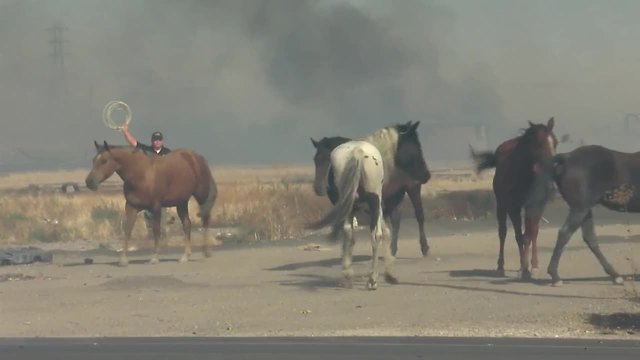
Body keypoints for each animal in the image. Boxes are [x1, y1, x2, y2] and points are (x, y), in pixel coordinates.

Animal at [85, 140, 218, 264]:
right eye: (93, 160)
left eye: (104, 161)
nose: (89, 182)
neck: (141, 174)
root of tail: (197, 158)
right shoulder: (131, 207)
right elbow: (128, 230)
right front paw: (123, 260)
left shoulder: (156, 207)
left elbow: (156, 230)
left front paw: (155, 257)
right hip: (181, 202)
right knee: (187, 224)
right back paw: (185, 256)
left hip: (201, 196)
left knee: (206, 219)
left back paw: (206, 252)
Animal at [310, 121, 430, 256]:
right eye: (316, 160)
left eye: (418, 147)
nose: (318, 188)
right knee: (396, 219)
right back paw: (392, 249)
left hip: (412, 188)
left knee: (418, 215)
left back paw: (422, 247)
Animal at [470, 118, 560, 278]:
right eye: (539, 143)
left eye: (555, 142)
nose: (551, 167)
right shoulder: (513, 207)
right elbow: (519, 235)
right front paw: (523, 268)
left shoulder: (535, 205)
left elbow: (530, 233)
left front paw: (531, 267)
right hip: (501, 205)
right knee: (503, 232)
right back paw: (501, 266)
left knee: (531, 232)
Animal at [548, 145, 636, 286]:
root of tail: (567, 157)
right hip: (580, 208)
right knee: (565, 233)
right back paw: (556, 277)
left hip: (586, 210)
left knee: (589, 238)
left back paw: (615, 276)